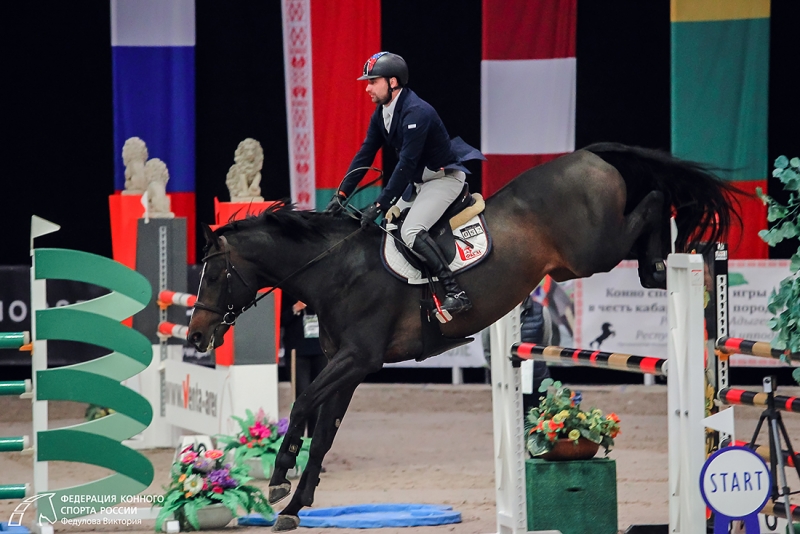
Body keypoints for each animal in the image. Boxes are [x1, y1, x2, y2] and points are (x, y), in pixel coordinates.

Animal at [188, 142, 739, 531]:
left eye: (213, 276)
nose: (194, 337)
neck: (335, 268)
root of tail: (586, 155)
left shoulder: (357, 359)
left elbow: (303, 404)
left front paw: (279, 481)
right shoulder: (347, 368)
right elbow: (324, 431)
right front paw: (295, 505)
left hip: (592, 252)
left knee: (654, 200)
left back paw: (659, 263)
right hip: (574, 264)